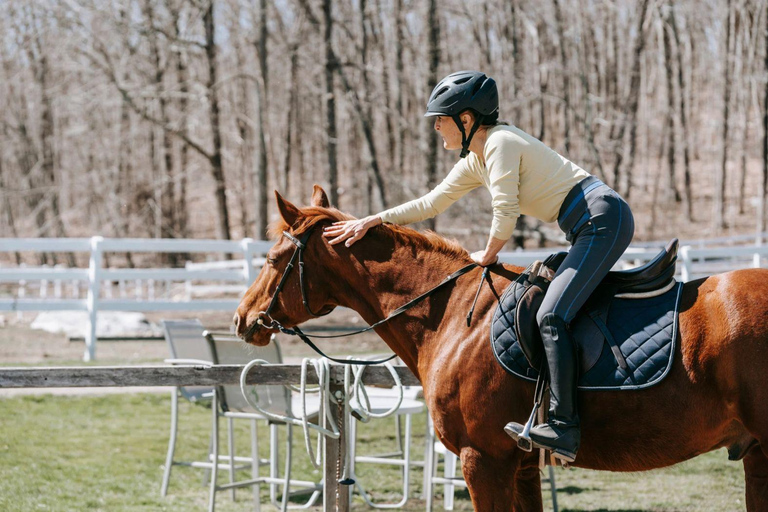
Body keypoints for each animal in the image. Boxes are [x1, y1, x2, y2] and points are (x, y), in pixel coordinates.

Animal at [232, 186, 768, 510]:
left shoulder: (482, 461)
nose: (242, 320)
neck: (452, 315)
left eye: (273, 258)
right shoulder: (522, 466)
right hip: (758, 454)